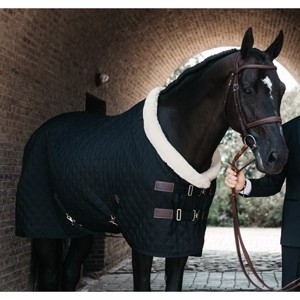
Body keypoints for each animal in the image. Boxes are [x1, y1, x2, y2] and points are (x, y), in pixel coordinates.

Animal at [15, 28, 288, 290]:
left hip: (83, 224)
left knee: (70, 272)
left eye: (281, 90)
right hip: (45, 227)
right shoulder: (143, 237)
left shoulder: (181, 238)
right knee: (50, 276)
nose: (277, 156)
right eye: (248, 89)